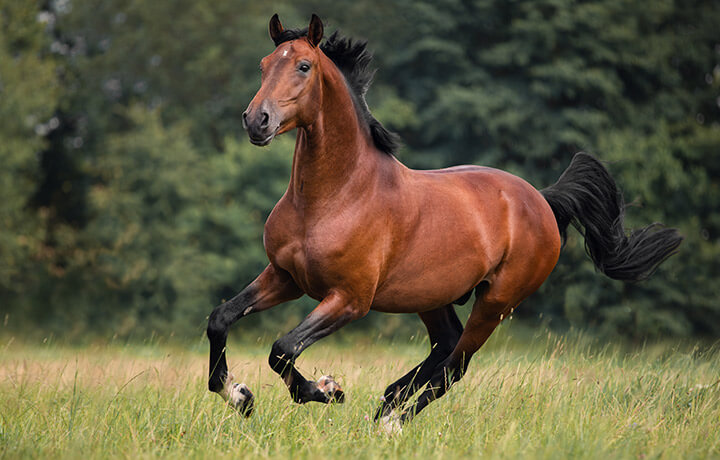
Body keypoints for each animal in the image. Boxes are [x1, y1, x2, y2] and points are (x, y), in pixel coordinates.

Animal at [206, 13, 682, 424]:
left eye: (304, 66)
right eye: (264, 65)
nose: (257, 120)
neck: (333, 197)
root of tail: (543, 201)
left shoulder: (349, 299)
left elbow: (283, 347)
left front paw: (326, 389)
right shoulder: (286, 276)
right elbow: (221, 319)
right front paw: (240, 395)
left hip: (495, 303)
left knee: (455, 365)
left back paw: (391, 421)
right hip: (432, 296)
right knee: (444, 348)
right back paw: (387, 402)